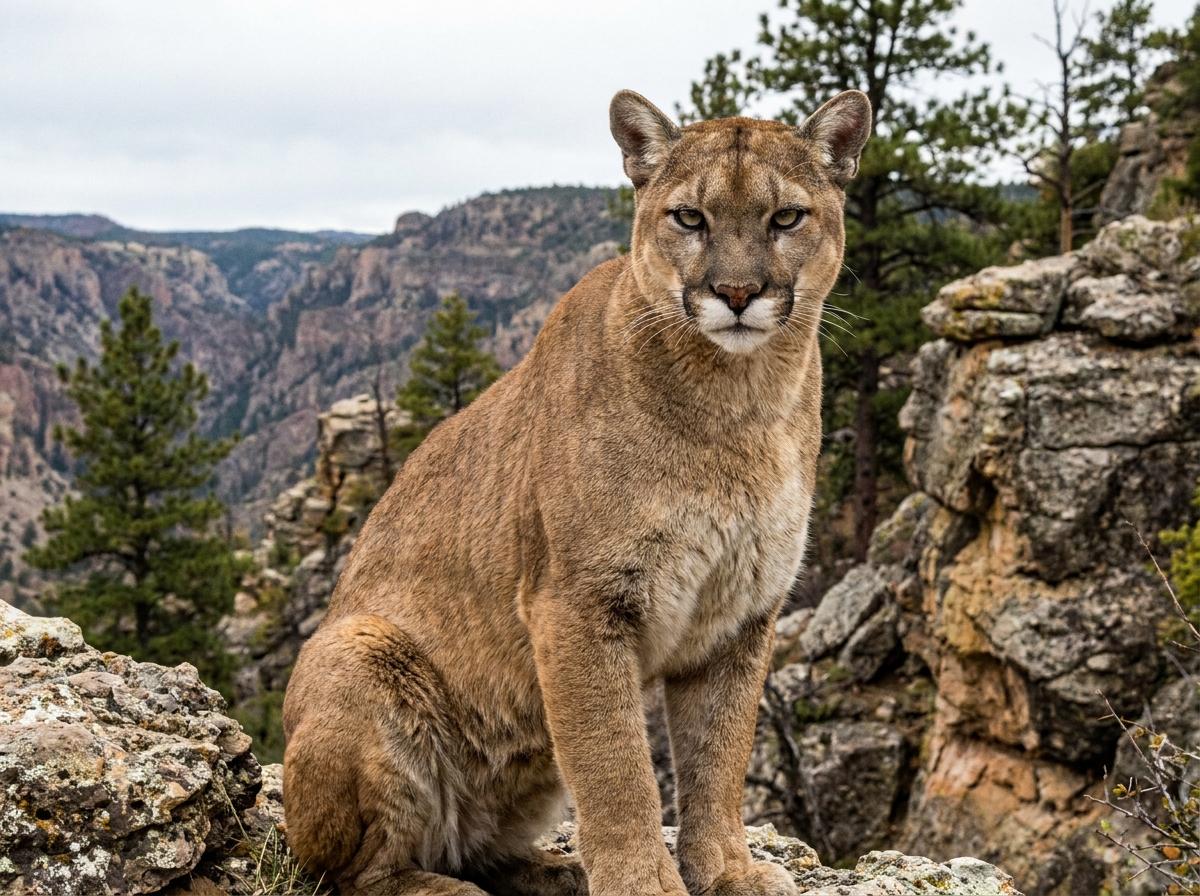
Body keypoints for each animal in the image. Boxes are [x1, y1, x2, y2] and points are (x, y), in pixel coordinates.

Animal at [282, 87, 871, 896]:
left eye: (786, 217)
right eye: (690, 217)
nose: (737, 293)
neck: (740, 400)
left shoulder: (740, 614)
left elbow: (718, 758)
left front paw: (726, 870)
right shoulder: (580, 603)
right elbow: (615, 765)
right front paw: (644, 883)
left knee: (476, 844)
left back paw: (547, 869)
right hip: (359, 648)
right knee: (349, 870)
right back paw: (450, 888)